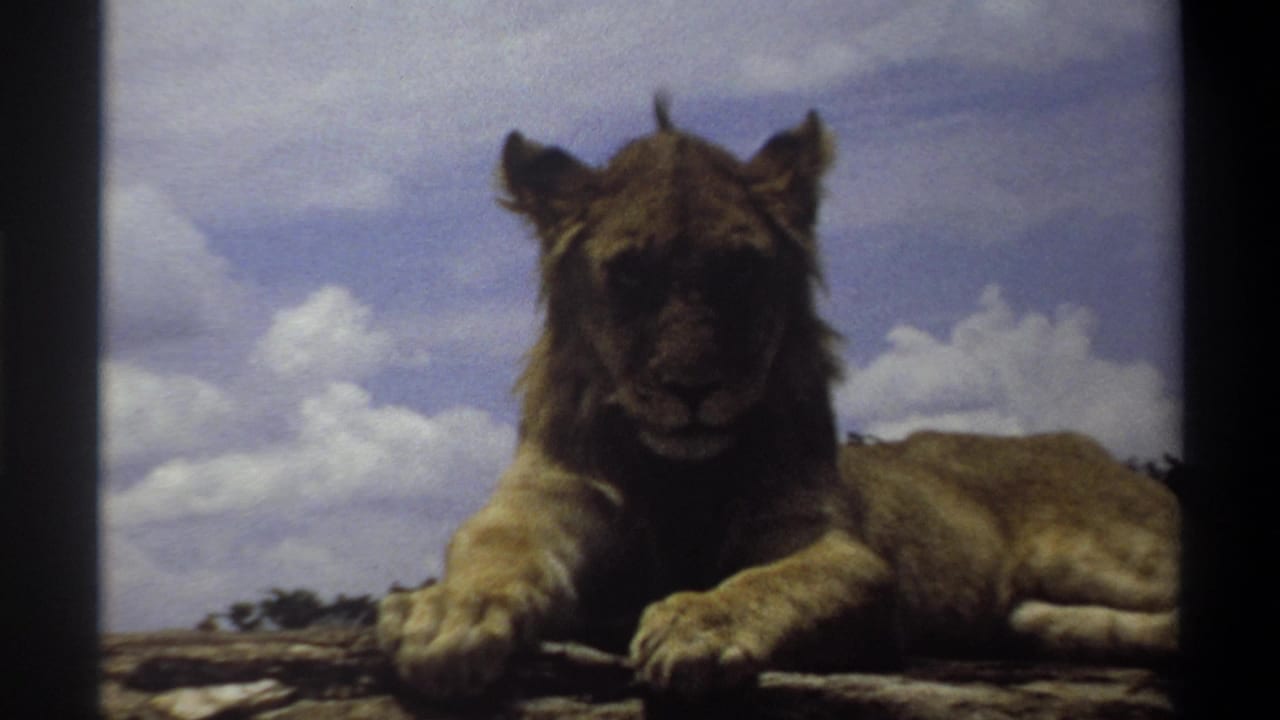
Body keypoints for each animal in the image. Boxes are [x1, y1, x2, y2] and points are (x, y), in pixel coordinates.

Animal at [376, 99, 1179, 698]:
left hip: (1113, 550)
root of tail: (1083, 442)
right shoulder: (544, 500)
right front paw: (443, 611)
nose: (692, 389)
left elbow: (781, 579)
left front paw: (700, 623)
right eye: (630, 274)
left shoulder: (836, 547)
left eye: (739, 270)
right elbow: (493, 550)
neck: (677, 474)